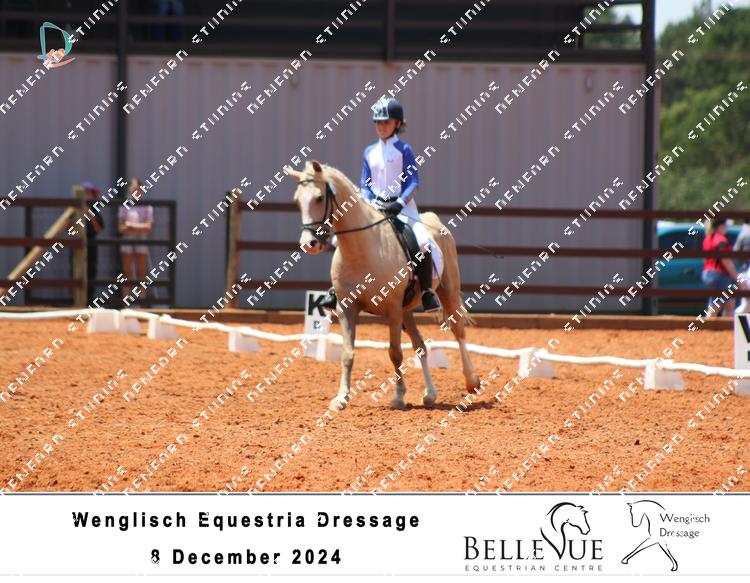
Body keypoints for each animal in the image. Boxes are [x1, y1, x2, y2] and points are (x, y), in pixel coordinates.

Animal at [286, 160, 481, 412]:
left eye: (319, 198)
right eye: (297, 200)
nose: (308, 244)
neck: (362, 249)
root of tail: (434, 221)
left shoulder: (393, 309)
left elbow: (394, 352)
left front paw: (398, 397)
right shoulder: (347, 309)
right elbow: (347, 354)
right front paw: (341, 398)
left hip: (447, 293)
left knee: (458, 332)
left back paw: (471, 381)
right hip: (407, 310)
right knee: (420, 345)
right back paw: (429, 394)